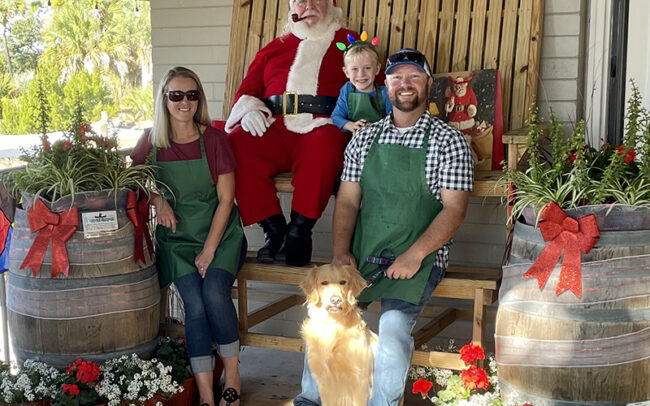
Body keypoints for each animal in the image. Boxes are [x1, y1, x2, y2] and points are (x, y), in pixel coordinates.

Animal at [298, 264, 374, 404]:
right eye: (324, 283)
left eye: (343, 282)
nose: (335, 300)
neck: (333, 324)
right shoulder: (325, 382)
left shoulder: (360, 382)